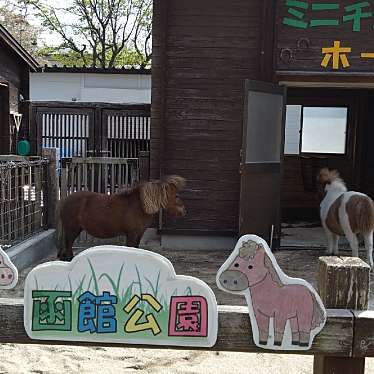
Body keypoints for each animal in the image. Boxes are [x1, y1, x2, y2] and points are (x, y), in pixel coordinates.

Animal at [57, 175, 186, 260]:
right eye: (176, 196)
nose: (183, 211)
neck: (140, 206)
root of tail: (64, 201)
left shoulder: (139, 234)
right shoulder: (131, 234)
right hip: (72, 230)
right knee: (68, 245)